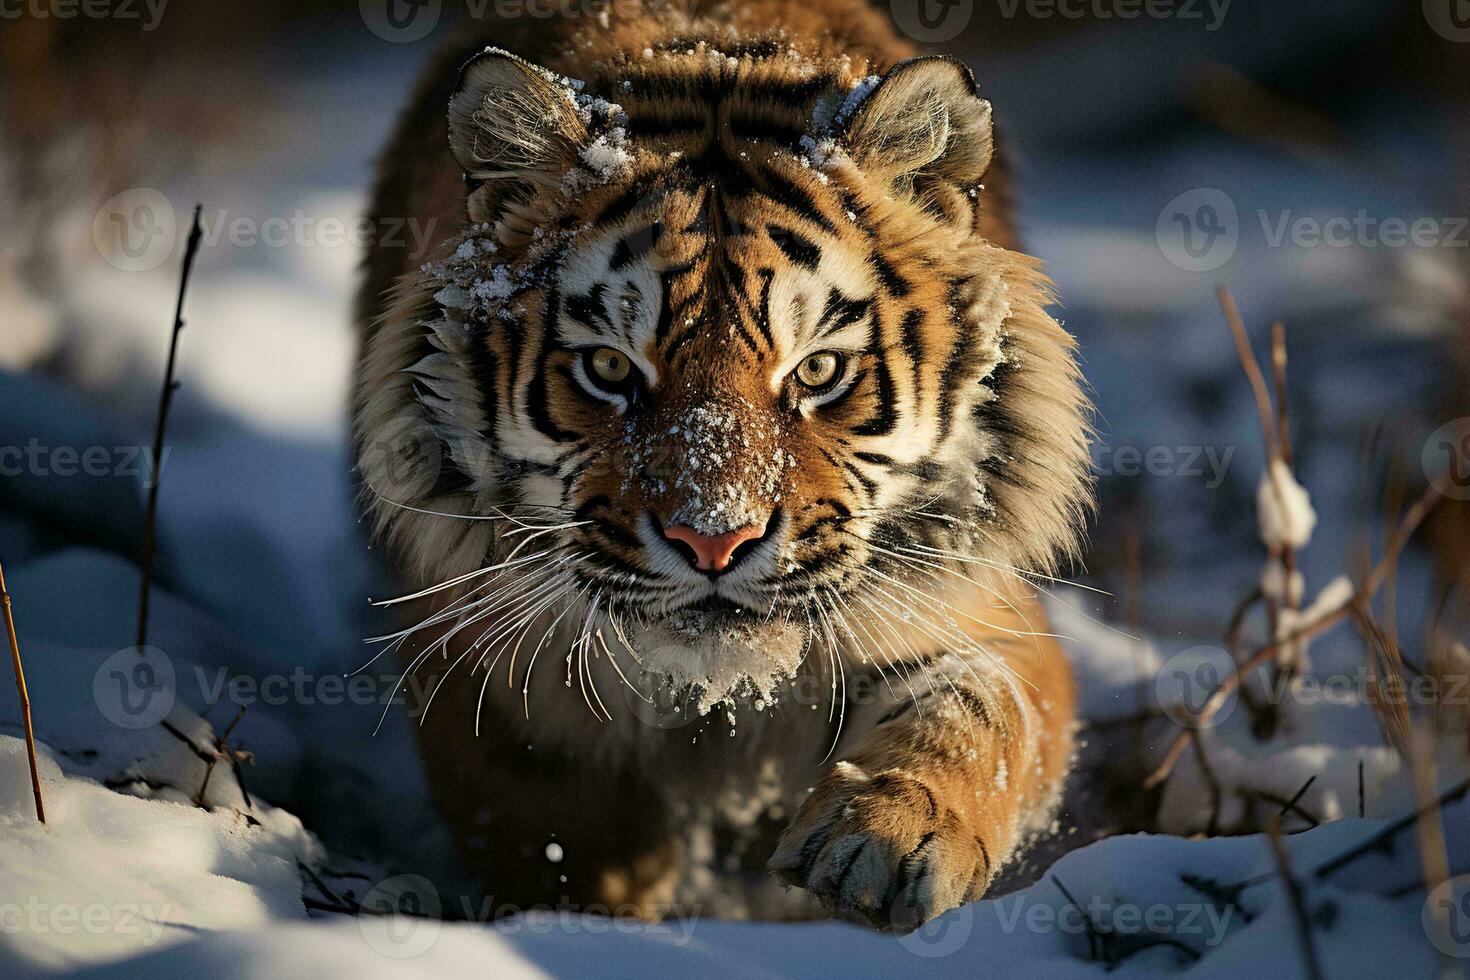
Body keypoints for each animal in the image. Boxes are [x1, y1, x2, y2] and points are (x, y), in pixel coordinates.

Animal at [352, 0, 1093, 934]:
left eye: (818, 371)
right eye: (609, 368)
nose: (714, 543)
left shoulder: (979, 607)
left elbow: (980, 704)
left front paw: (883, 841)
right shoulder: (478, 666)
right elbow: (557, 838)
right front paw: (591, 928)